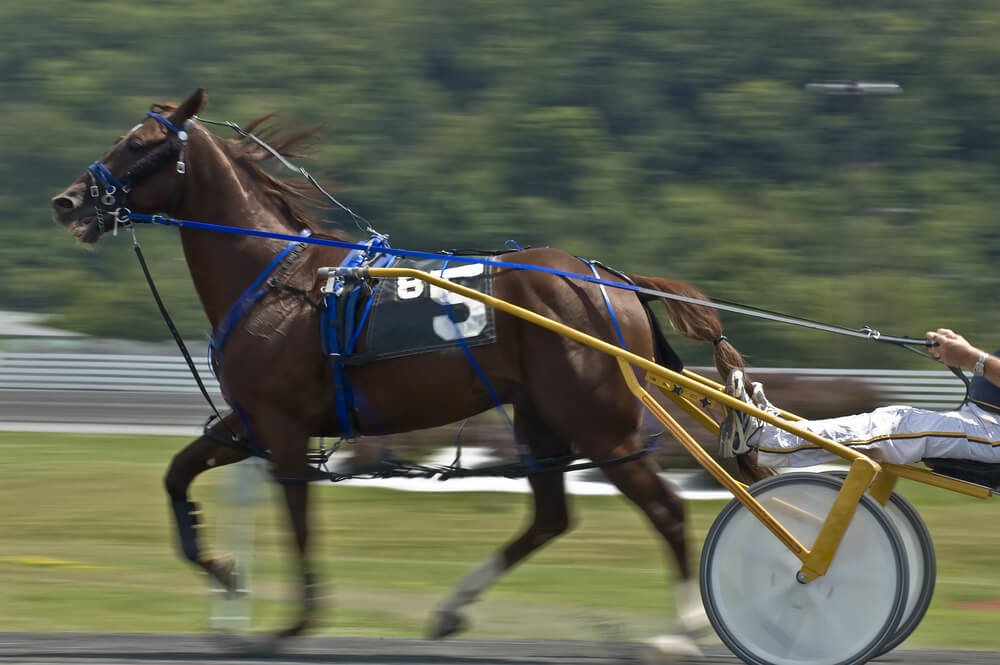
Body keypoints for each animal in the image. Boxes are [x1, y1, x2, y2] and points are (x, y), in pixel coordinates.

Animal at [51, 89, 756, 642]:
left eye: (139, 143)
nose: (68, 201)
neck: (279, 279)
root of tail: (611, 280)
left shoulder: (282, 426)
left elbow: (299, 521)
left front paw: (294, 622)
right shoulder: (250, 420)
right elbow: (177, 475)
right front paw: (225, 573)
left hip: (599, 423)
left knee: (665, 509)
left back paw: (683, 631)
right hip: (541, 417)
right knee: (551, 518)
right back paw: (452, 608)